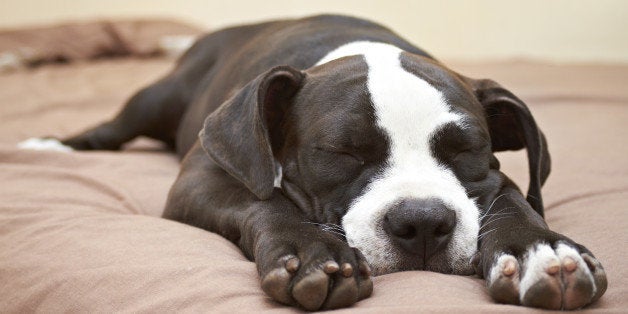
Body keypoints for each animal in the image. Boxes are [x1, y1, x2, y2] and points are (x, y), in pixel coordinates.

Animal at [35, 14, 608, 310]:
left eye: (465, 151)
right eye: (342, 152)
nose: (423, 222)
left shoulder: (494, 178)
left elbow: (512, 200)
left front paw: (541, 249)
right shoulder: (201, 178)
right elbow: (265, 203)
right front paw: (312, 253)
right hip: (160, 98)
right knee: (116, 125)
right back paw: (54, 145)